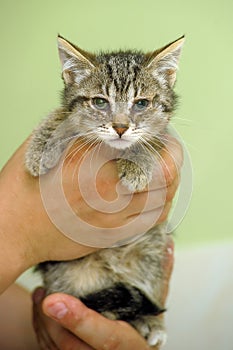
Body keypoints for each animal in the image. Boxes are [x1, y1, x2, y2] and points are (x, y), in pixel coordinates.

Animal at [25, 35, 185, 348]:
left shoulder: (163, 132)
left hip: (152, 250)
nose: (120, 127)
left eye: (141, 103)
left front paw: (137, 162)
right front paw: (40, 147)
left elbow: (152, 140)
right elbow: (61, 114)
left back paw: (149, 320)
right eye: (100, 102)